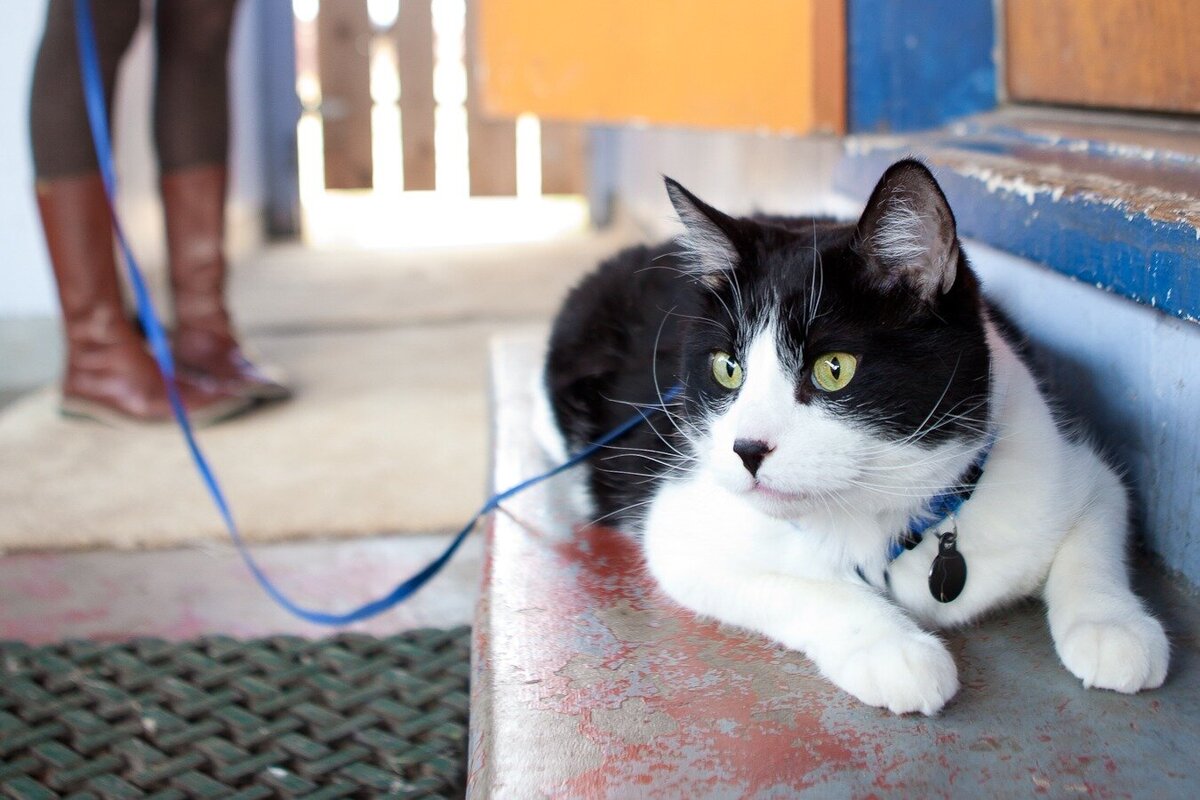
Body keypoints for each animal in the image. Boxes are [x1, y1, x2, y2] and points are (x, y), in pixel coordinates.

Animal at [544, 159, 1171, 714]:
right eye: (728, 369)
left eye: (834, 369)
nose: (746, 450)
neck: (889, 517)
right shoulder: (682, 526)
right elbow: (802, 584)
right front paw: (893, 648)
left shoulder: (1067, 471)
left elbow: (1095, 532)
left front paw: (1113, 626)